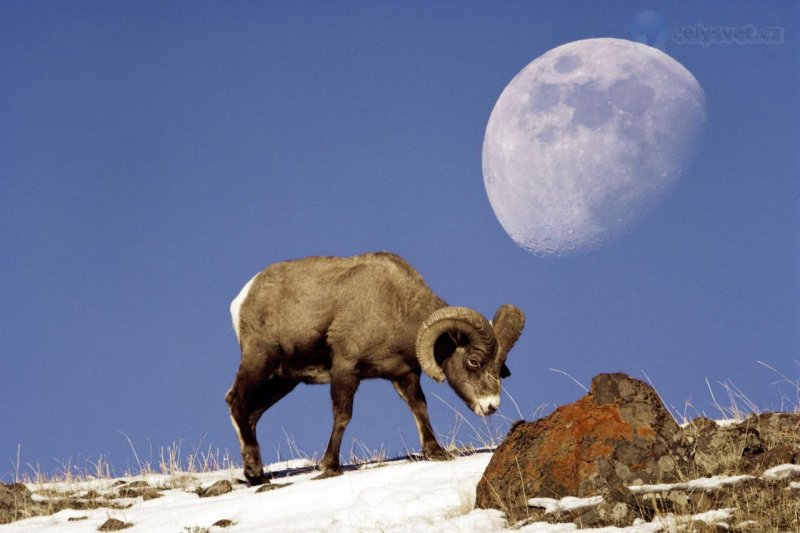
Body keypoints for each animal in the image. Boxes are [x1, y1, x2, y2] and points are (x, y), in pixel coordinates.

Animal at [225, 252, 525, 484]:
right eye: (473, 361)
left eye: (499, 366)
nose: (491, 406)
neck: (395, 305)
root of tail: (243, 298)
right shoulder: (346, 367)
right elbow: (343, 415)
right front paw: (330, 467)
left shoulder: (404, 375)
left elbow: (419, 408)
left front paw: (436, 452)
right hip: (260, 359)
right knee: (236, 400)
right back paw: (255, 473)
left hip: (283, 380)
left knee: (252, 414)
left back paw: (255, 474)